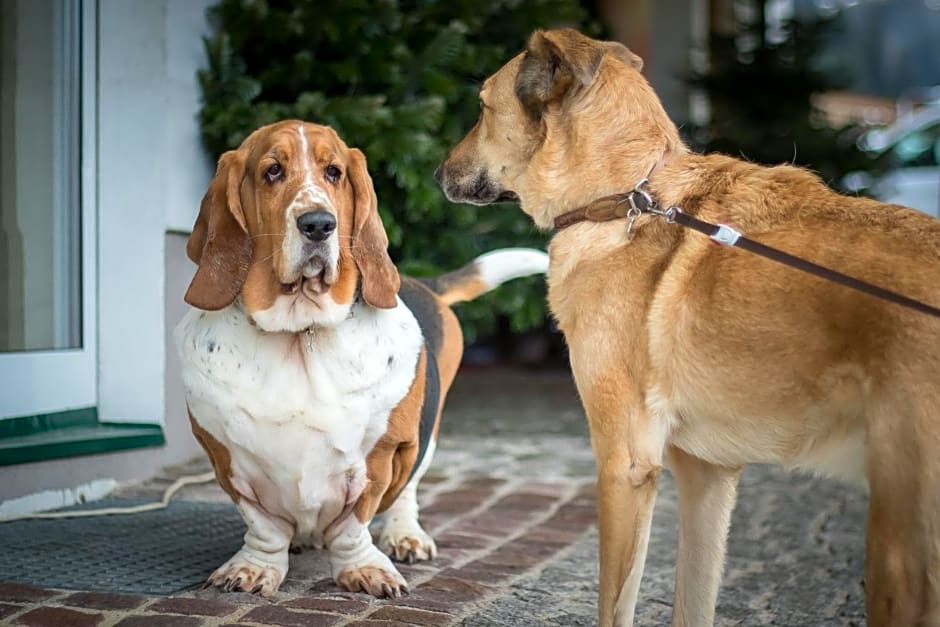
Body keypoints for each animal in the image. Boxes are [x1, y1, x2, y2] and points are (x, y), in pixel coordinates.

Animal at [174, 121, 552, 600]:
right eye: (272, 171)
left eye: (334, 172)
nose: (318, 224)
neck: (300, 334)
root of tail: (420, 282)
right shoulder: (227, 458)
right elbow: (264, 527)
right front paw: (256, 568)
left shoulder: (381, 453)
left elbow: (355, 524)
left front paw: (365, 569)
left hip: (425, 436)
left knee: (408, 491)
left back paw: (405, 536)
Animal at [436, 28, 940, 627]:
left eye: (483, 108)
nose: (436, 175)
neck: (622, 199)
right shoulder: (707, 476)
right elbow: (693, 602)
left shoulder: (625, 467)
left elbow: (615, 606)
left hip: (898, 548)